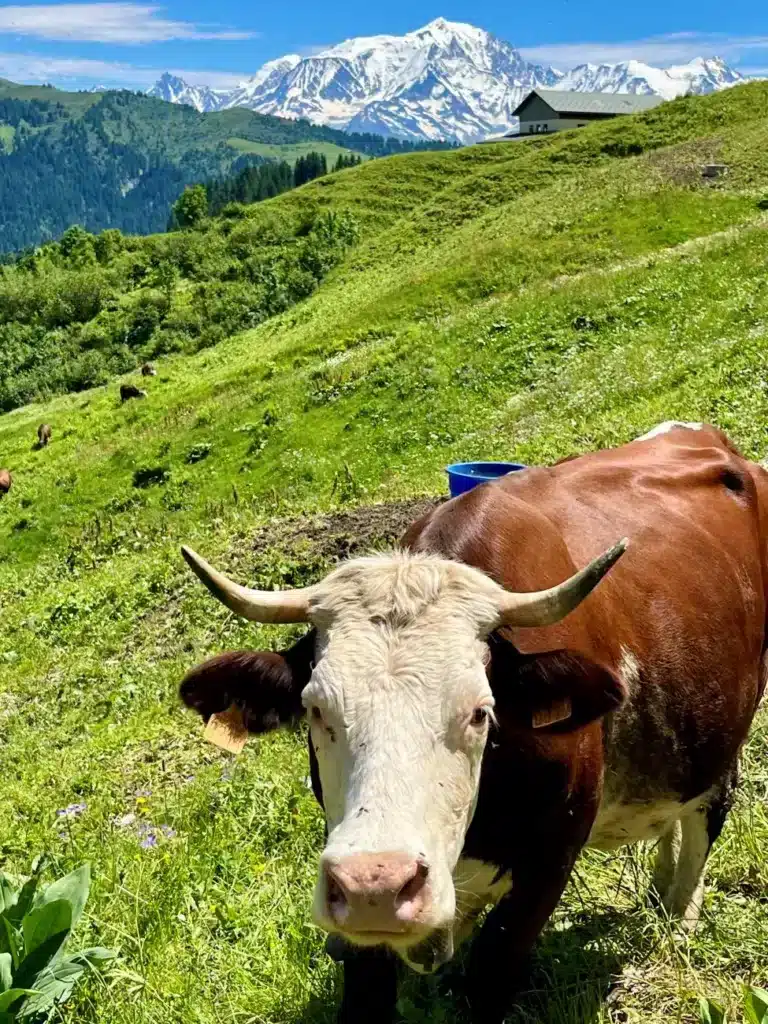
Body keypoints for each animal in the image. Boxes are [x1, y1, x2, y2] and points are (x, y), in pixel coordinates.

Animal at [178, 422, 768, 1024]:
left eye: (481, 711)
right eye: (317, 709)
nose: (375, 887)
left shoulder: (550, 859)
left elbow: (489, 975)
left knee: (709, 812)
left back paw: (678, 915)